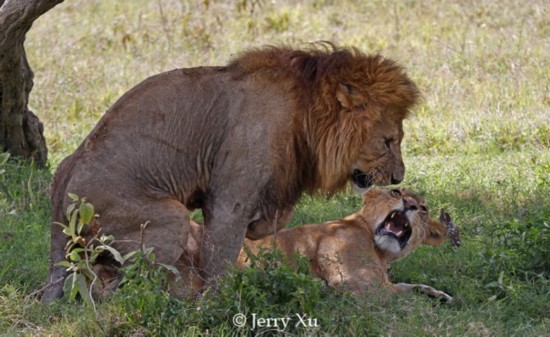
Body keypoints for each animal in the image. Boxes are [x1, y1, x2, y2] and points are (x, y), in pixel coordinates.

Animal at [43, 44, 420, 300]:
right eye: (388, 141)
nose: (399, 179)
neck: (306, 114)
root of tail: (59, 202)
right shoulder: (229, 200)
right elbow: (220, 256)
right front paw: (219, 301)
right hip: (169, 220)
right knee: (126, 288)